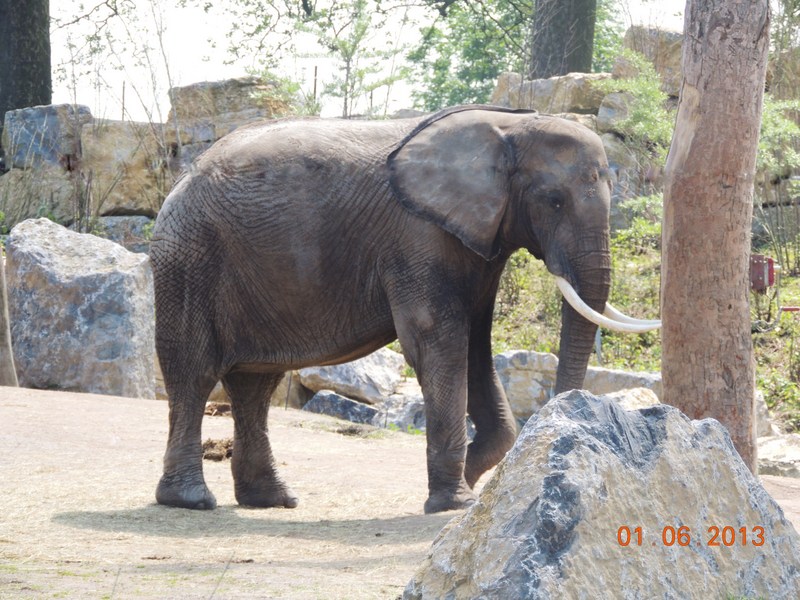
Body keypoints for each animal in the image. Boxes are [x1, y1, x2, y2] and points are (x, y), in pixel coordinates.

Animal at [148, 105, 656, 512]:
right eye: (553, 200)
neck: (509, 125)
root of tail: (182, 177)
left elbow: (475, 345)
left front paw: (469, 484)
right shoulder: (418, 235)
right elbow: (437, 341)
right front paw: (455, 503)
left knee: (255, 383)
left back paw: (271, 500)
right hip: (190, 256)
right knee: (194, 372)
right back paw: (191, 500)